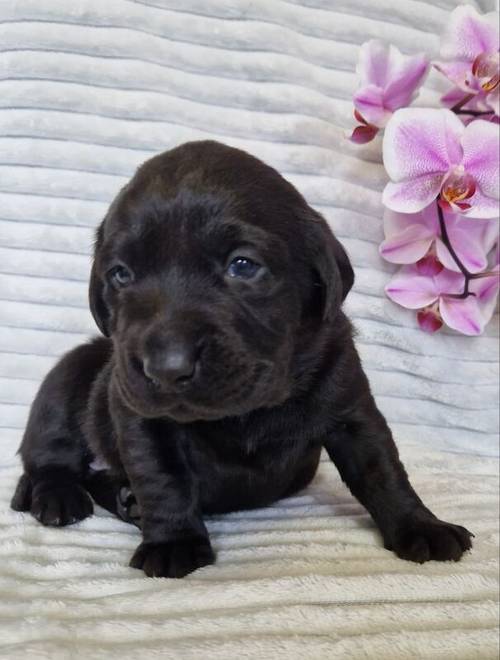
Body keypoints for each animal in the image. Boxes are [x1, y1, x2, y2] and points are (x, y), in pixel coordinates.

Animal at [10, 141, 472, 576]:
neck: (247, 410)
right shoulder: (139, 416)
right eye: (120, 275)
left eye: (243, 265)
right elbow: (161, 478)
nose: (167, 367)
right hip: (67, 380)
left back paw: (123, 500)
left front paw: (421, 525)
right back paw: (59, 497)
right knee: (50, 457)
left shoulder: (349, 404)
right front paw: (173, 542)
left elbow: (382, 470)